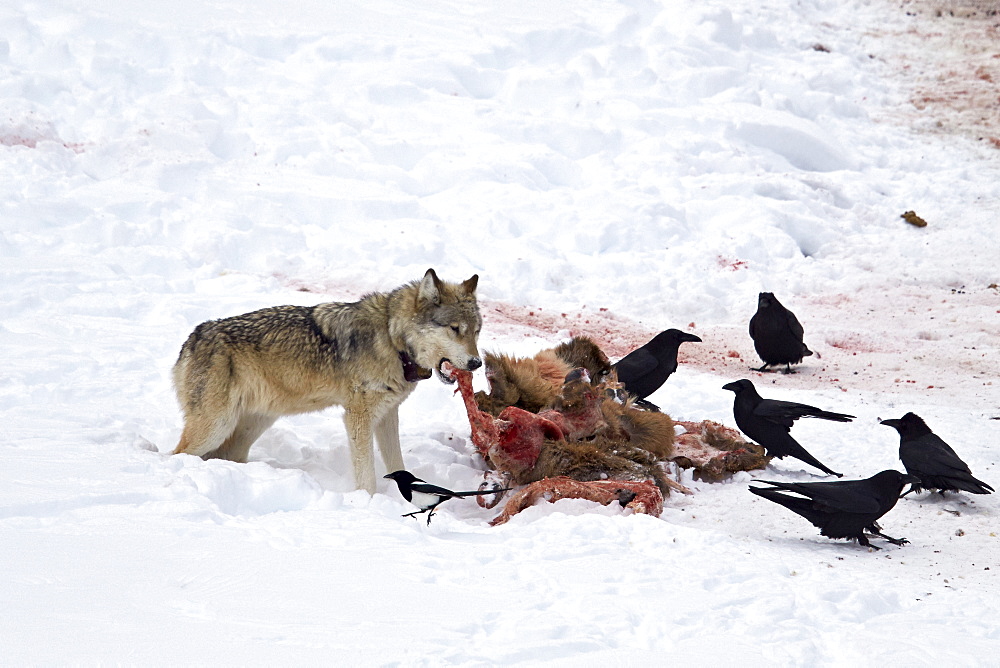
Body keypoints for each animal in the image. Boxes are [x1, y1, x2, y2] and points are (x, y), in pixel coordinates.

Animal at [172, 268, 484, 494]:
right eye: (455, 329)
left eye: (476, 331)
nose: (476, 363)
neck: (391, 338)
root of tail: (193, 337)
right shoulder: (358, 416)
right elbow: (367, 476)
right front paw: (368, 501)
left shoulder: (387, 415)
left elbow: (398, 464)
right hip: (216, 426)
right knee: (176, 453)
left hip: (247, 430)